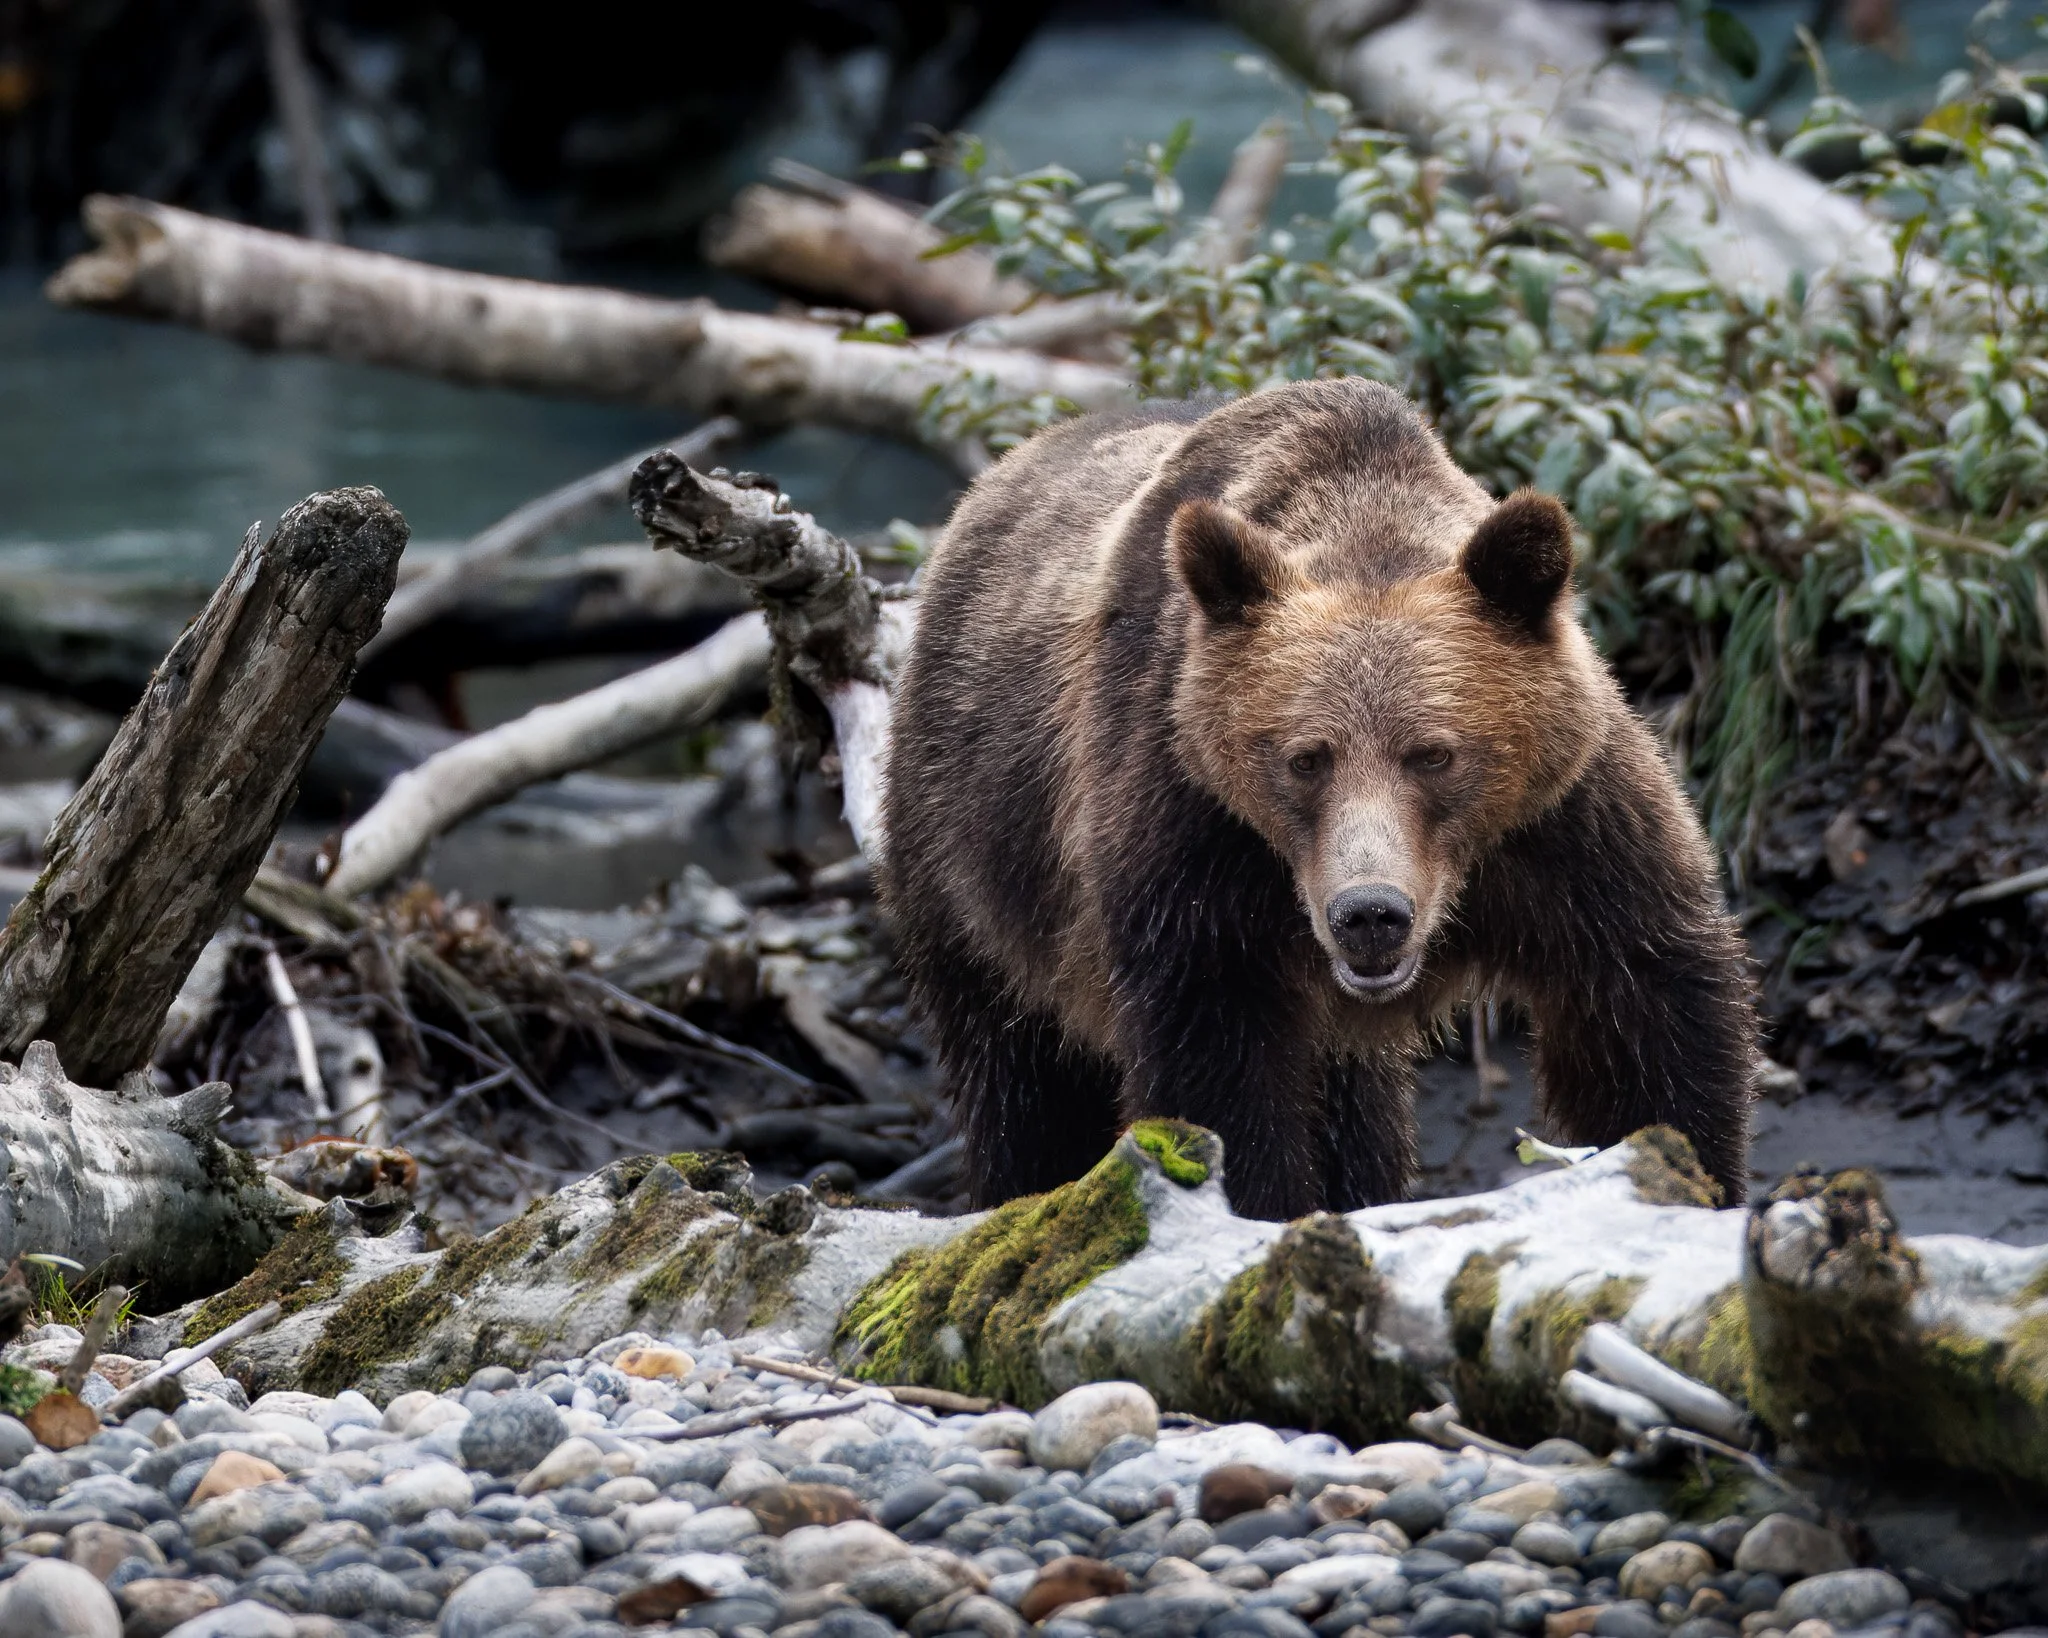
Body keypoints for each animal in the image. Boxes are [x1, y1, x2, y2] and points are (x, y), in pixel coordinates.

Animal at [879, 378, 1756, 1220]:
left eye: (1433, 754)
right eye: (1305, 759)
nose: (1370, 912)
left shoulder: (1565, 828)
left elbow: (1645, 1013)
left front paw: (1688, 1171)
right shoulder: (1193, 834)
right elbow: (1221, 1069)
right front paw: (1257, 1204)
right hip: (974, 853)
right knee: (1025, 1080)